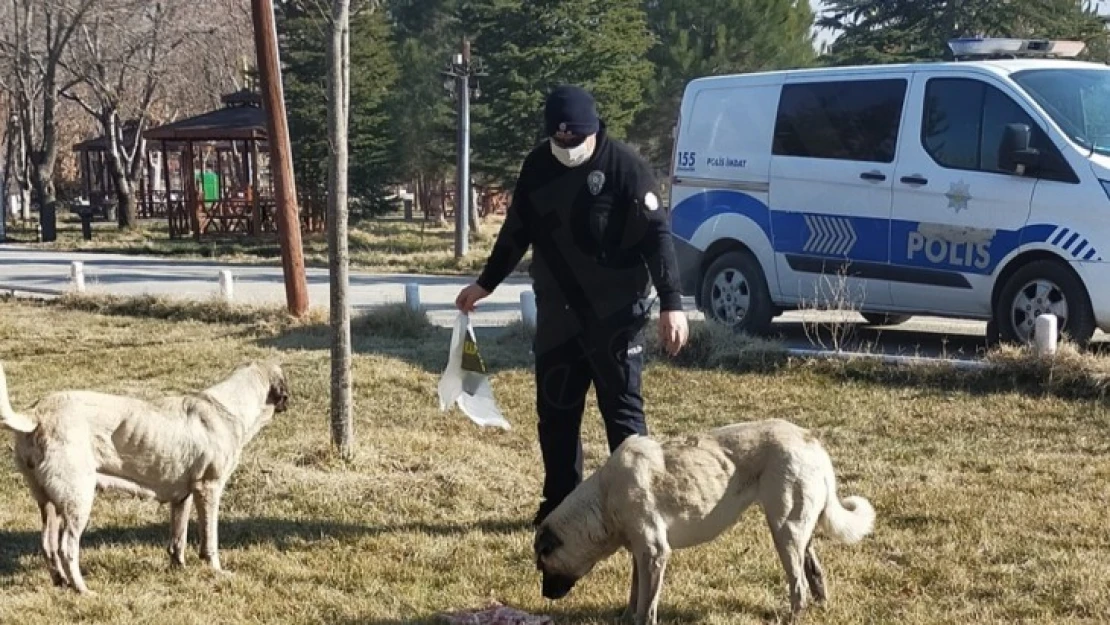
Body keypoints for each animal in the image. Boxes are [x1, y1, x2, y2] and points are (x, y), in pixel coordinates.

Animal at [0, 359, 290, 595]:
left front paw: (179, 569)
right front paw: (216, 571)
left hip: (48, 503)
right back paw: (82, 589)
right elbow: (210, 540)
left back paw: (61, 582)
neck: (228, 407)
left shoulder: (183, 497)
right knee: (66, 548)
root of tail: (37, 414)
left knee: (47, 544)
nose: (291, 400)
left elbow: (178, 538)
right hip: (78, 499)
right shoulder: (209, 489)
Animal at [530, 417, 874, 621]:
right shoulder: (641, 555)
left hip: (783, 532)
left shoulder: (654, 554)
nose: (544, 595)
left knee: (799, 586)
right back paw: (822, 606)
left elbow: (647, 607)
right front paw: (626, 617)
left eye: (543, 566)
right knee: (814, 572)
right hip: (799, 530)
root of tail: (810, 440)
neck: (603, 499)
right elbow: (635, 595)